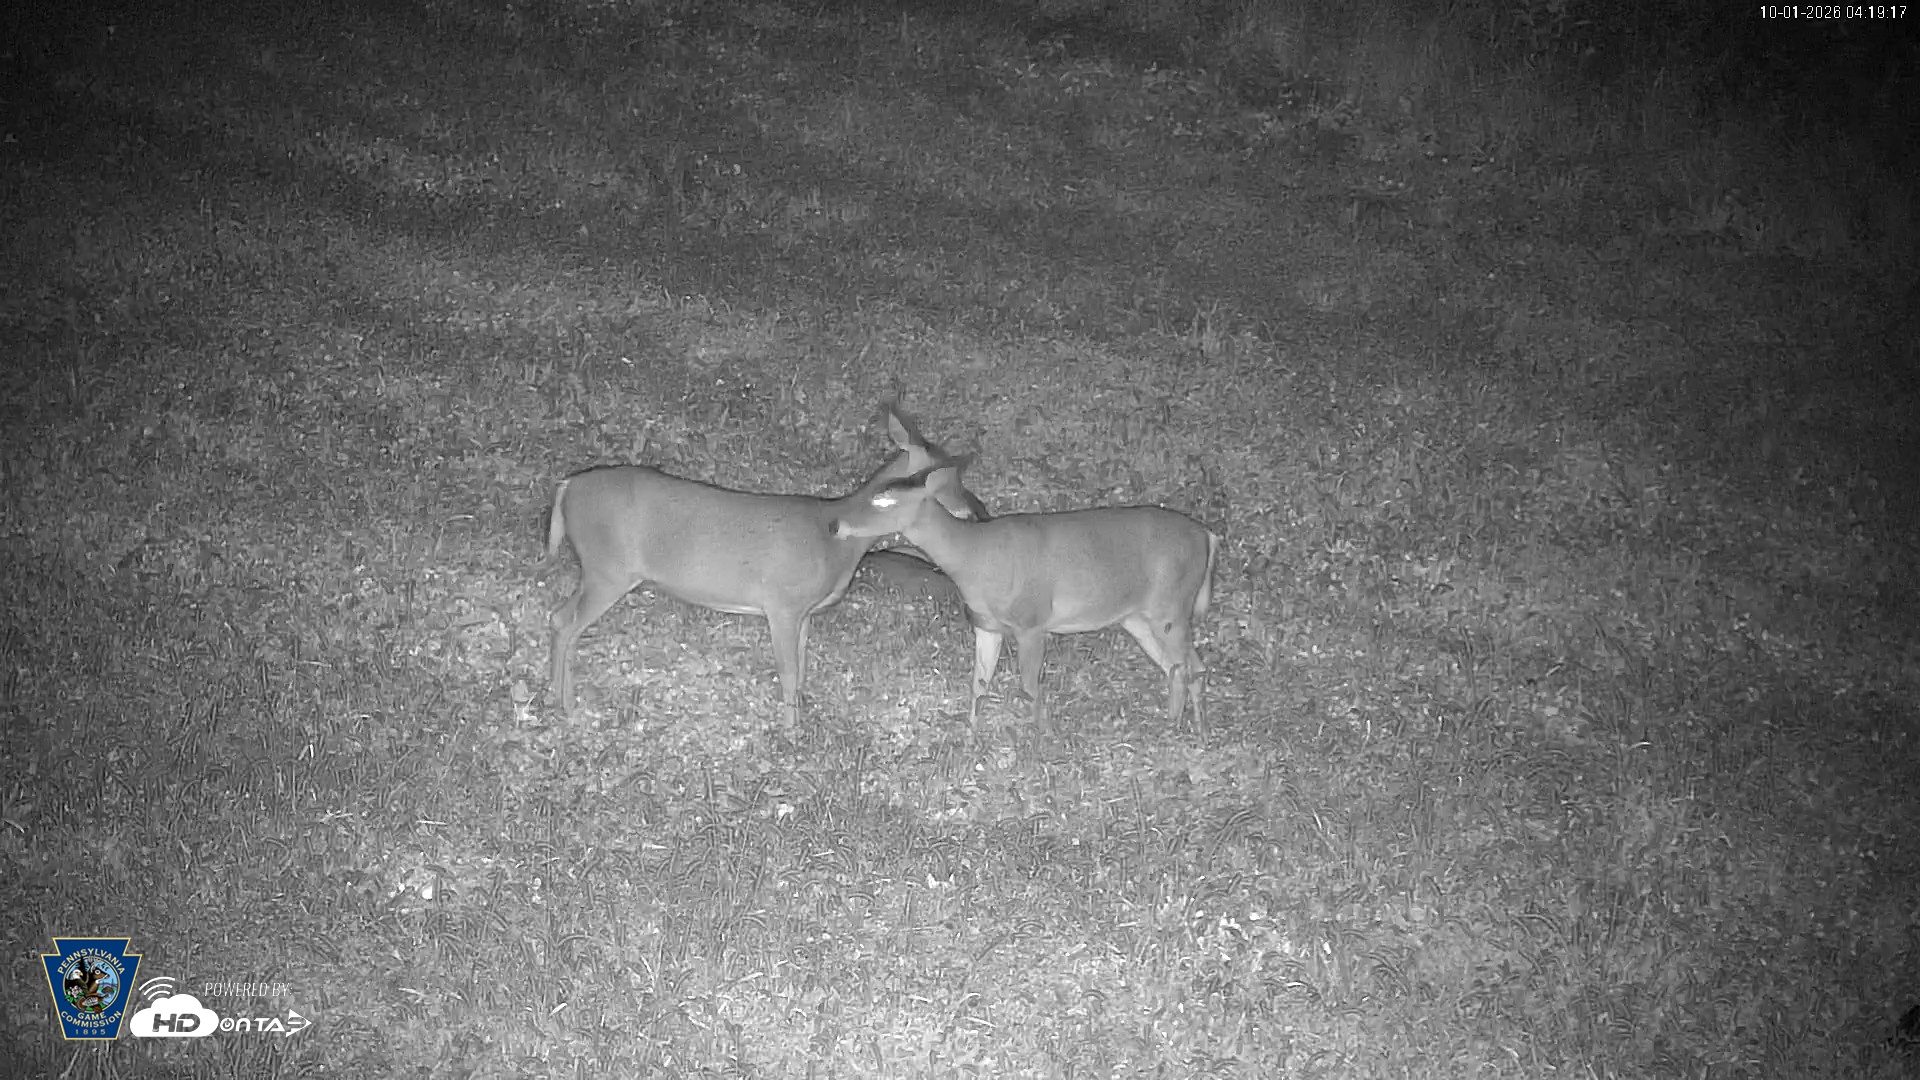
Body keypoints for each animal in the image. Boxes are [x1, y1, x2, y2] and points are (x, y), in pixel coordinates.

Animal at [545, 408, 983, 725]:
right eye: (951, 480)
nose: (979, 510)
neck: (836, 539)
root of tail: (567, 486)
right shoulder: (782, 602)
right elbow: (788, 671)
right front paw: (792, 733)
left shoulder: (805, 611)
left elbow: (802, 665)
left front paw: (801, 713)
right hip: (608, 567)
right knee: (564, 620)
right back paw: (567, 706)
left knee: (559, 618)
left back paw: (557, 695)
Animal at [832, 459, 1219, 732]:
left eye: (883, 500)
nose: (837, 524)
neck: (975, 558)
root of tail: (1208, 536)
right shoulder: (986, 625)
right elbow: (979, 683)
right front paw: (971, 736)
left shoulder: (1032, 621)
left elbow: (1029, 686)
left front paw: (1043, 738)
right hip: (1138, 616)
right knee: (1181, 666)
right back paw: (1184, 728)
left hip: (1171, 604)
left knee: (1189, 665)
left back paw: (1184, 729)